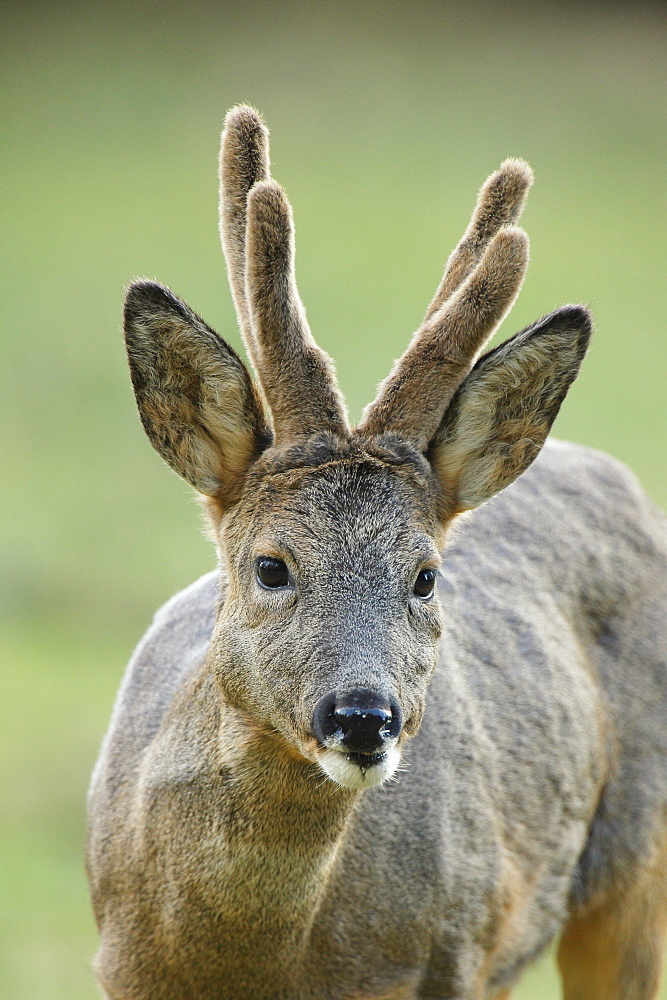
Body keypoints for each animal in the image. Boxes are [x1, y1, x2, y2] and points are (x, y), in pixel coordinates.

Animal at [87, 105, 667, 996]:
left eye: (426, 576)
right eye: (270, 566)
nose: (362, 715)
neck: (243, 963)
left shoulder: (440, 965)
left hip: (633, 862)